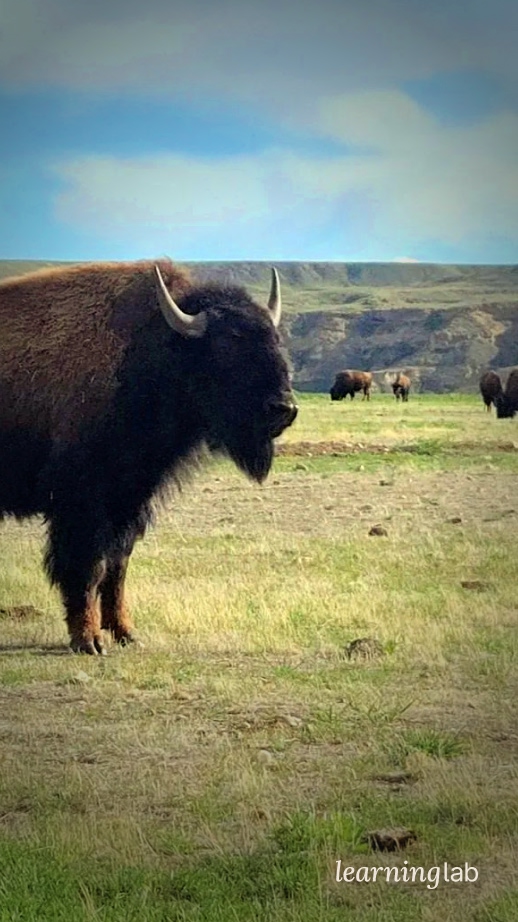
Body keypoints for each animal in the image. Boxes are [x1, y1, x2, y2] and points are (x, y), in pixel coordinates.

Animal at [0, 260, 297, 654]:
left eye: (275, 340)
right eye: (227, 343)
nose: (284, 408)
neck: (146, 351)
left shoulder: (130, 501)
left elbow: (116, 568)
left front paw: (127, 634)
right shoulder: (83, 505)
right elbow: (86, 568)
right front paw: (89, 641)